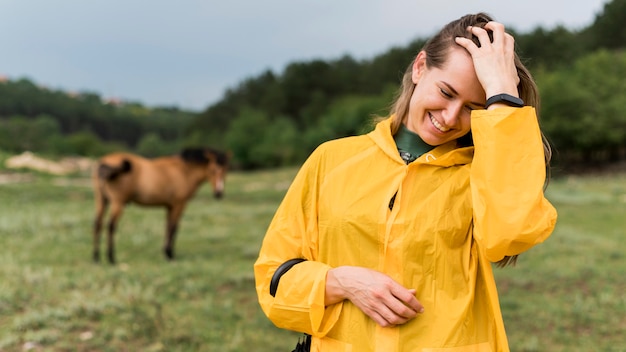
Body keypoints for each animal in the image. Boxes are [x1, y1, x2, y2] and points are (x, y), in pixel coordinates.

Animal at [91, 146, 228, 264]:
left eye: (225, 171)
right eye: (213, 170)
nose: (219, 193)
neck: (183, 171)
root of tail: (105, 161)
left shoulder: (169, 207)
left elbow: (167, 227)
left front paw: (166, 252)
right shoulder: (179, 205)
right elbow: (173, 228)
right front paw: (170, 254)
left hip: (101, 200)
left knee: (98, 224)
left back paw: (96, 258)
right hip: (117, 203)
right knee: (111, 226)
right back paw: (111, 258)